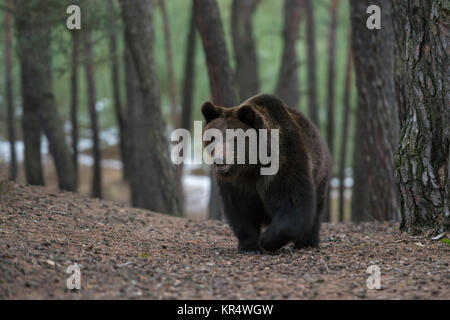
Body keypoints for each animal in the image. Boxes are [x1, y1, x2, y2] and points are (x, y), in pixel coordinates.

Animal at [200, 94, 330, 251]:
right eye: (213, 138)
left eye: (234, 139)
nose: (219, 159)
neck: (252, 165)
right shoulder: (237, 183)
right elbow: (241, 210)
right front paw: (249, 244)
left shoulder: (283, 164)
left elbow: (293, 201)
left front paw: (266, 239)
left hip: (320, 175)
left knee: (315, 212)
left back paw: (306, 242)